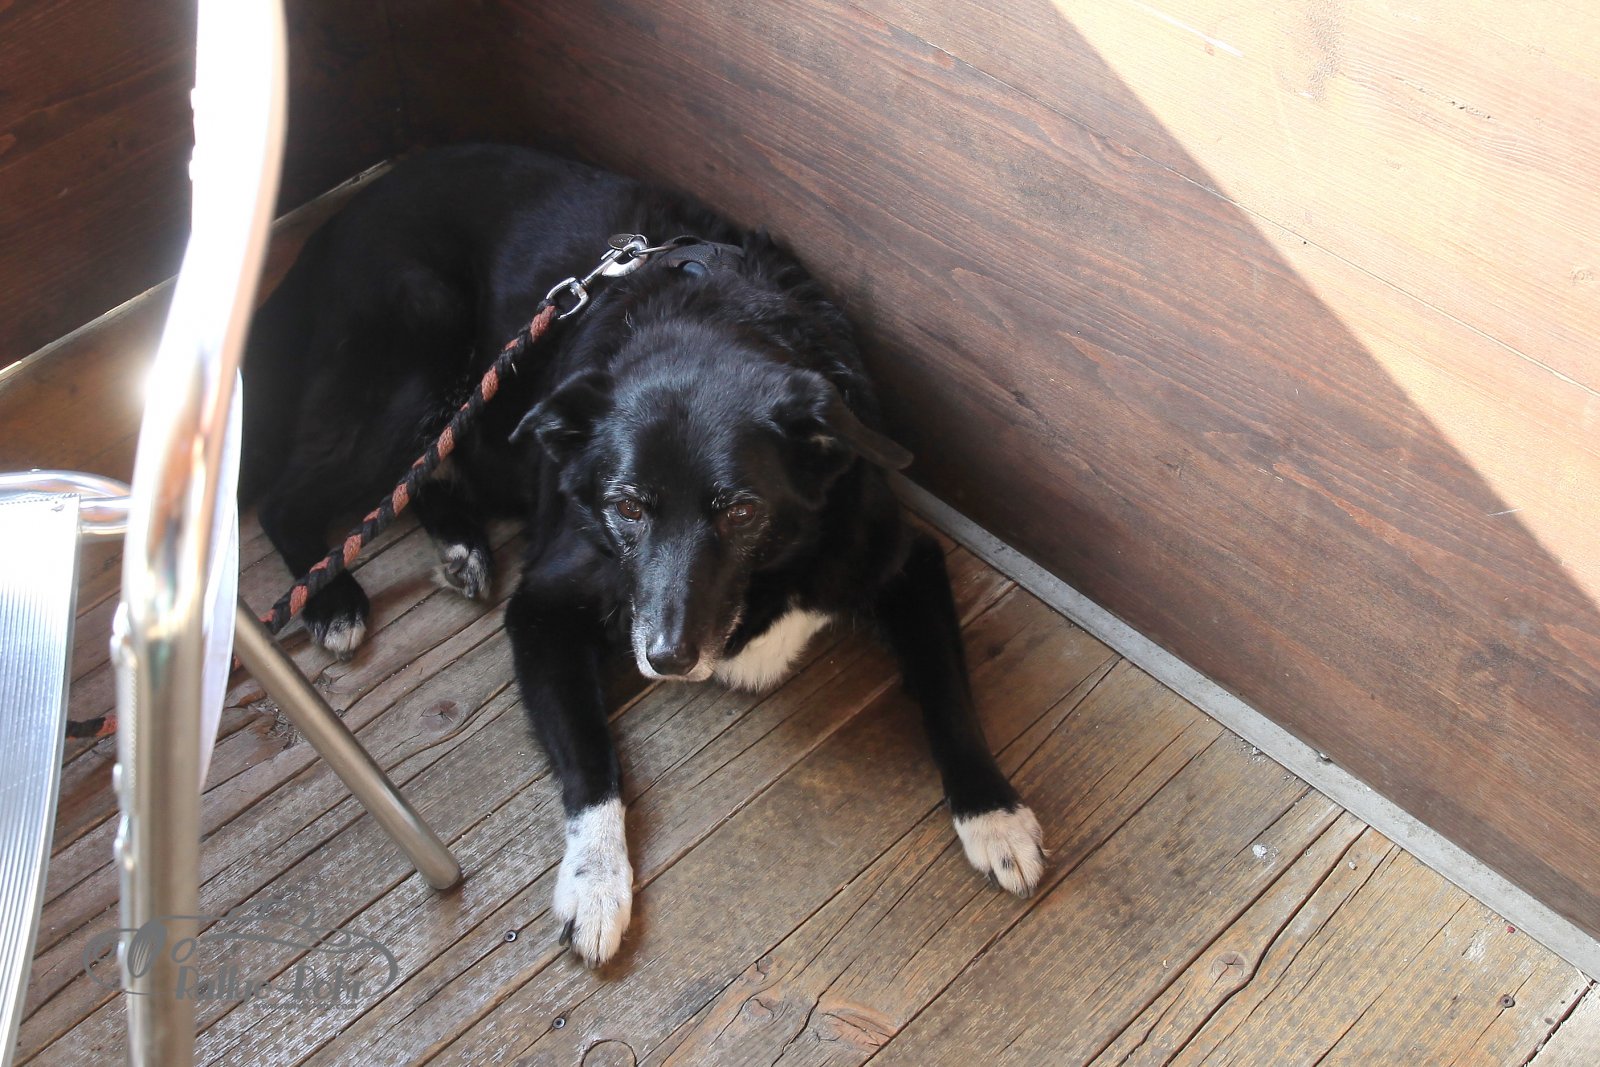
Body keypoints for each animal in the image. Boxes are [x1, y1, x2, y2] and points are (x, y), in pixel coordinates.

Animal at [242, 144, 1043, 966]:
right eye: (626, 507)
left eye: (742, 511)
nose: (665, 657)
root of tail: (332, 225)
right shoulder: (543, 610)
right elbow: (593, 765)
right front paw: (596, 883)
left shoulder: (903, 560)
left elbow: (949, 691)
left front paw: (994, 811)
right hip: (419, 350)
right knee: (287, 495)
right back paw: (333, 597)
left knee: (414, 472)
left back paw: (457, 542)